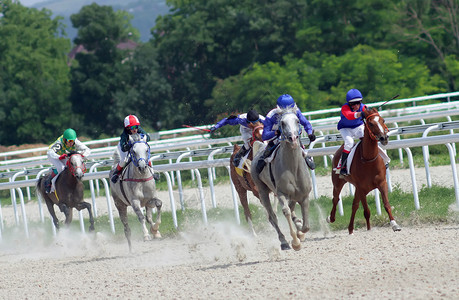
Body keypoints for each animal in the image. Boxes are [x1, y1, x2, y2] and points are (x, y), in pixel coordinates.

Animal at [252, 109, 312, 250]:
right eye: (282, 123)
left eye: (297, 121)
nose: (293, 138)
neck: (293, 168)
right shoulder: (281, 193)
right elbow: (286, 211)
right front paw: (295, 242)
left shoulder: (304, 195)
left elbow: (306, 226)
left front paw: (300, 231)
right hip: (262, 191)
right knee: (272, 217)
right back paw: (284, 241)